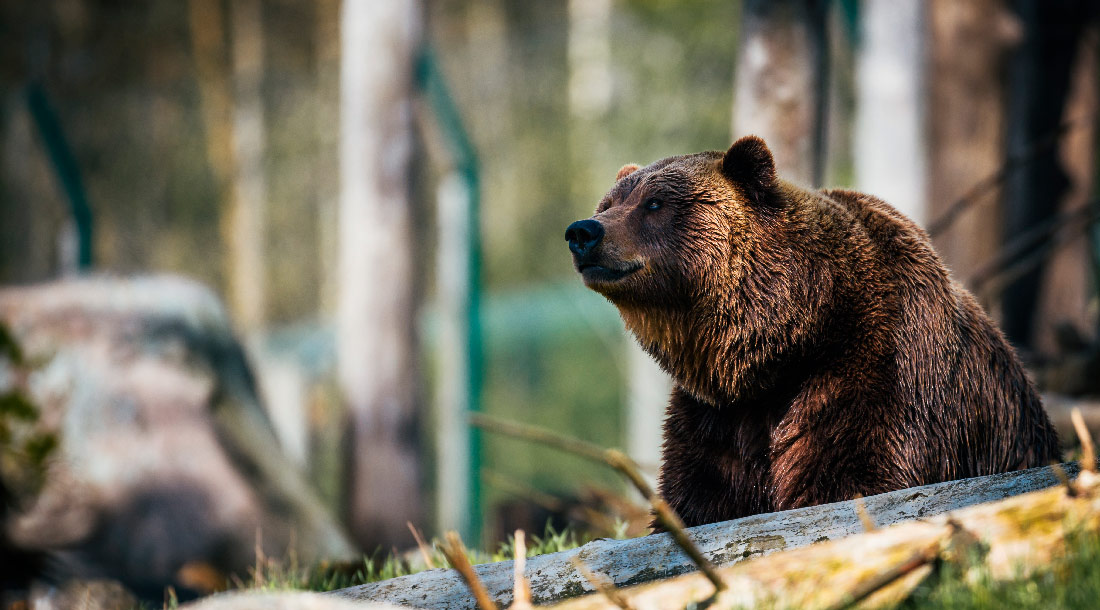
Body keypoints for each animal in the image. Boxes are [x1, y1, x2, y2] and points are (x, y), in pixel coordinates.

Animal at [563, 136, 1060, 527]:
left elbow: (851, 476)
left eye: (655, 203)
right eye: (609, 204)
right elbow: (700, 496)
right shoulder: (718, 417)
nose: (583, 231)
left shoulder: (877, 371)